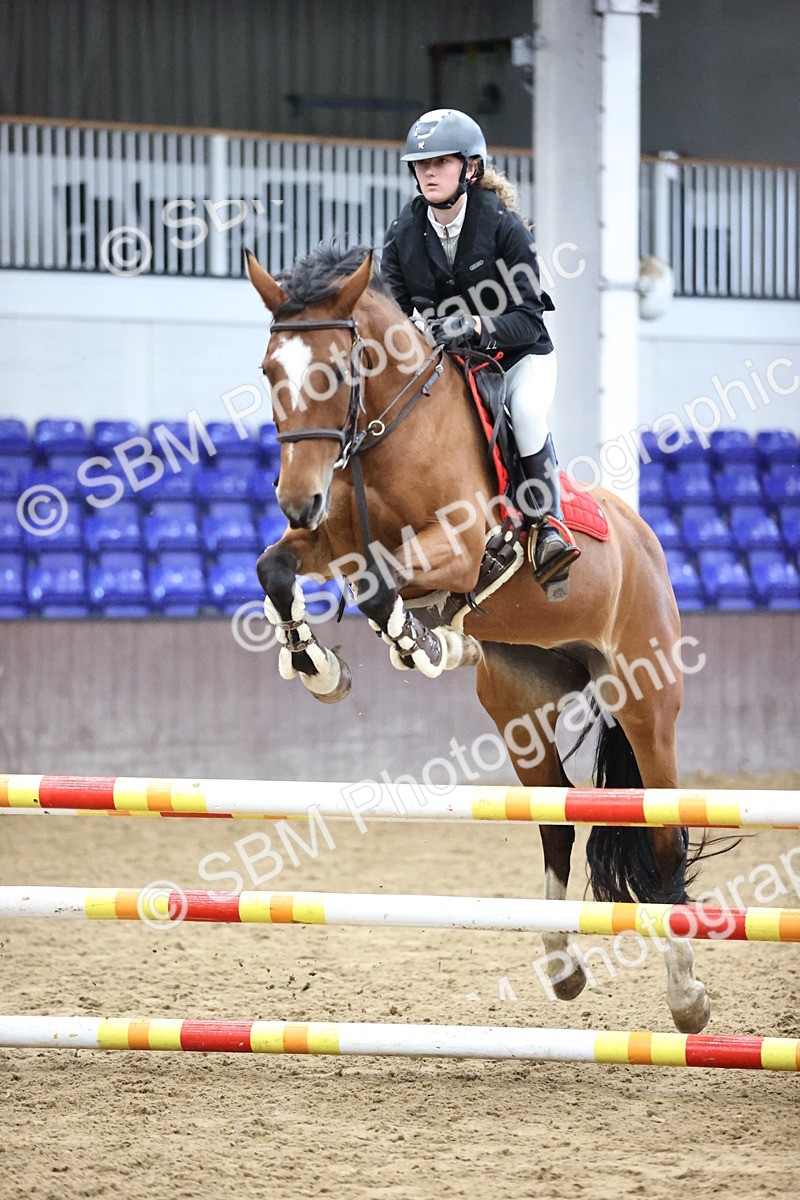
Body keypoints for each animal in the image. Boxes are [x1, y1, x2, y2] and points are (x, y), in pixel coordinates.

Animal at [245, 242, 711, 1035]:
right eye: (270, 371)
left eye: (336, 372)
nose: (296, 498)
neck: (389, 432)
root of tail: (644, 540)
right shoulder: (330, 541)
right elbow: (280, 566)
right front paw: (318, 664)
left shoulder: (460, 549)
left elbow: (379, 586)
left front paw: (418, 644)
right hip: (520, 703)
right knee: (557, 822)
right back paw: (562, 966)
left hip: (646, 702)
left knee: (661, 832)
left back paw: (687, 998)